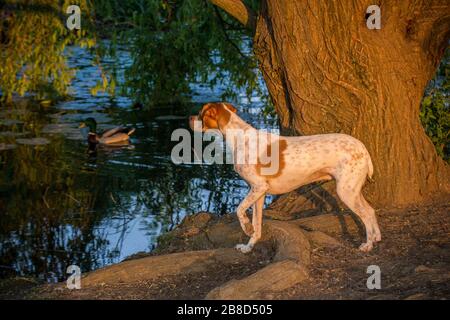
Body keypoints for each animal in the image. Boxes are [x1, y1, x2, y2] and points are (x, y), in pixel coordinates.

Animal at [188, 102, 382, 252]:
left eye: (201, 113)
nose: (189, 119)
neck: (240, 138)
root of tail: (363, 148)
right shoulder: (259, 193)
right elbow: (257, 224)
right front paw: (249, 246)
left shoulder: (258, 187)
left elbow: (239, 210)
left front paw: (246, 228)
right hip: (352, 190)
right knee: (371, 210)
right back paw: (377, 237)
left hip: (345, 191)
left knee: (365, 214)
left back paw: (367, 245)